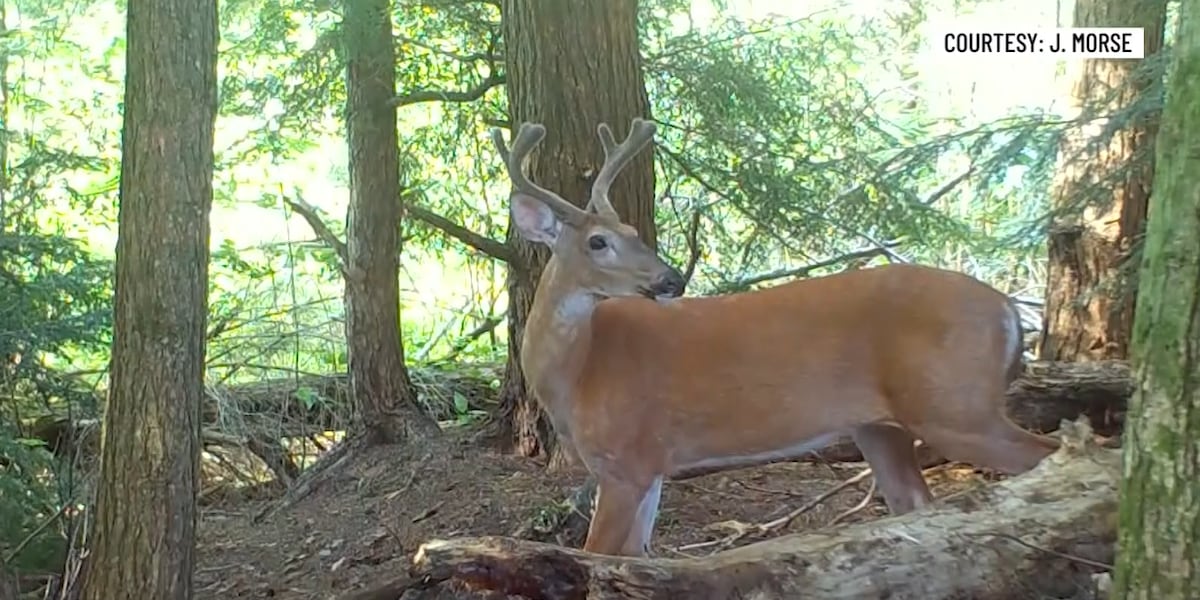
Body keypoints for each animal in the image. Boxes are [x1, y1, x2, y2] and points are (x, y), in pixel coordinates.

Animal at [489, 117, 1060, 558]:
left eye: (631, 232)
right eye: (599, 241)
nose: (671, 279)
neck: (578, 373)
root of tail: (1009, 310)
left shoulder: (626, 460)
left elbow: (601, 559)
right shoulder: (651, 466)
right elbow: (635, 557)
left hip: (955, 404)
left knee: (1053, 455)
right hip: (882, 427)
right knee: (917, 506)